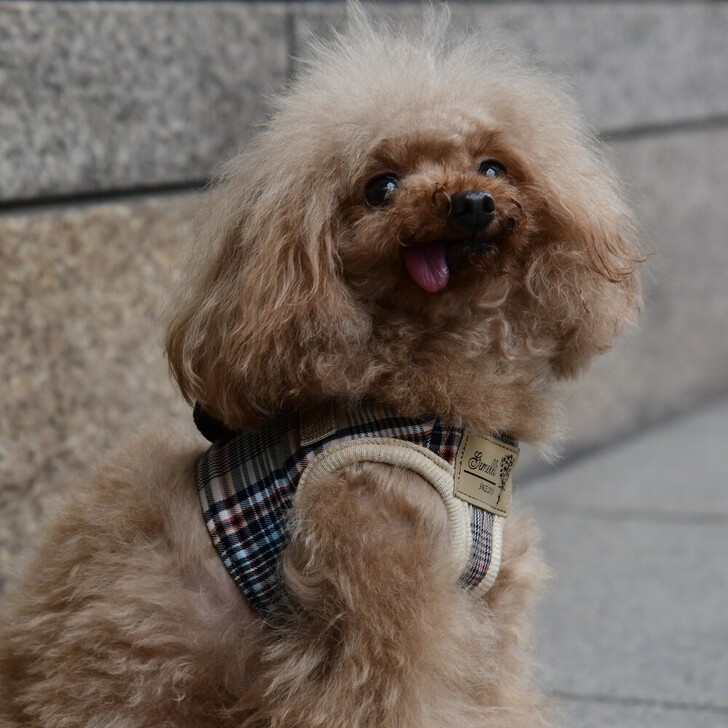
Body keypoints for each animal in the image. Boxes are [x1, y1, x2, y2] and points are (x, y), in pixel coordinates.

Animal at [0, 7, 641, 727]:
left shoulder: (486, 601)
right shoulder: (381, 597)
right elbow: (396, 697)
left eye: (493, 164)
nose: (471, 201)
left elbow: (493, 692)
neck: (433, 407)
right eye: (380, 187)